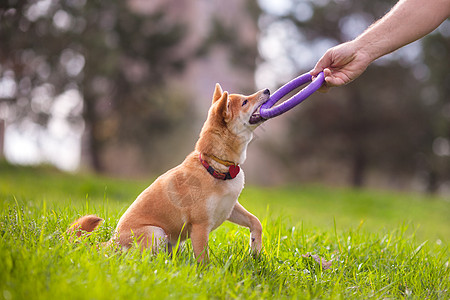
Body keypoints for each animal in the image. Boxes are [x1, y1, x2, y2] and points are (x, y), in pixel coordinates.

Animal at [67, 84, 268, 262]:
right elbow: (203, 259)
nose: (267, 90)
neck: (215, 165)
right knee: (138, 259)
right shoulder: (200, 226)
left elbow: (255, 221)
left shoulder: (230, 207)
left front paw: (255, 249)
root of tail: (111, 243)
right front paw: (207, 275)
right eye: (244, 102)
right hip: (156, 233)